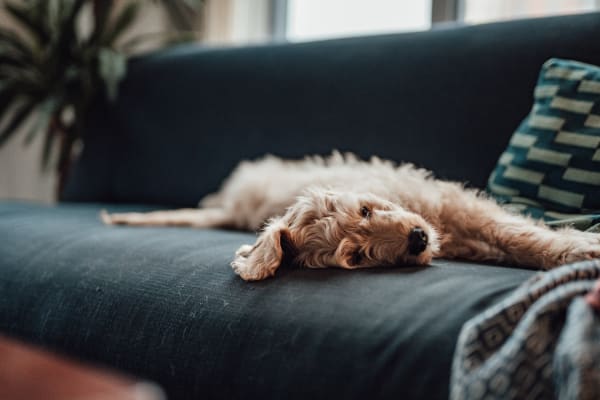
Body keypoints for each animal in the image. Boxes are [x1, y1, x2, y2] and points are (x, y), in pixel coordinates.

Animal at [102, 153, 600, 282]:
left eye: (364, 210)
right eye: (356, 257)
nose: (418, 239)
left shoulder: (457, 203)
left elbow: (516, 233)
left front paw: (578, 247)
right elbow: (511, 241)